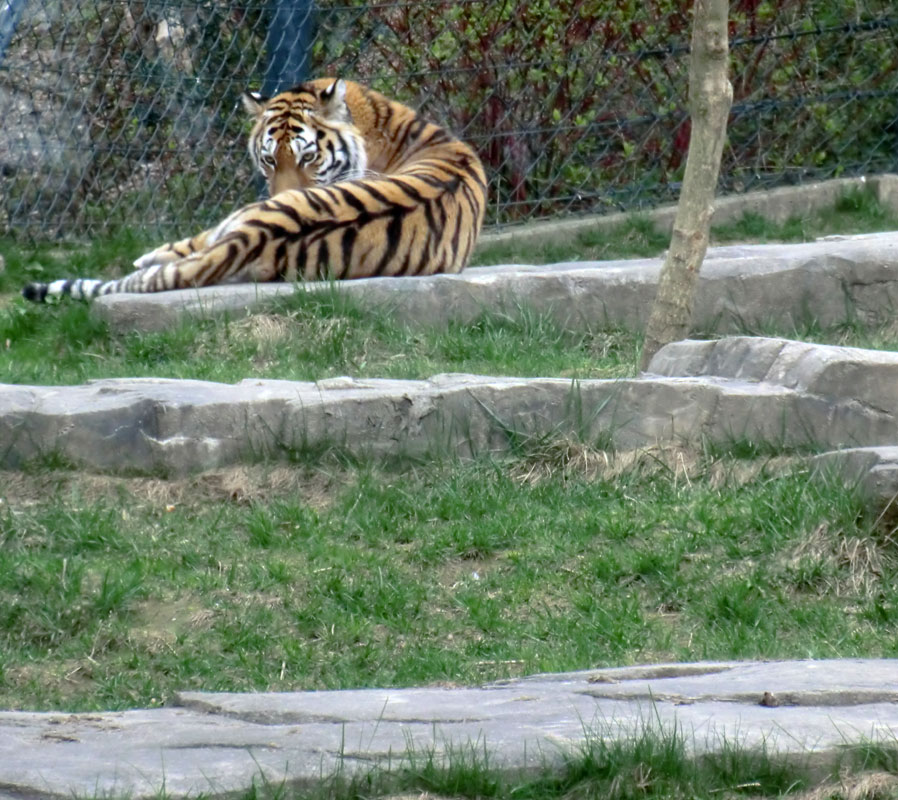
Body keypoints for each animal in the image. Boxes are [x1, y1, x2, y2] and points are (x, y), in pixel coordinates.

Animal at [21, 78, 484, 304]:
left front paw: (147, 255)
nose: (273, 193)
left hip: (235, 219)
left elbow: (185, 242)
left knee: (187, 250)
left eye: (308, 158)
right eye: (268, 159)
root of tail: (254, 235)